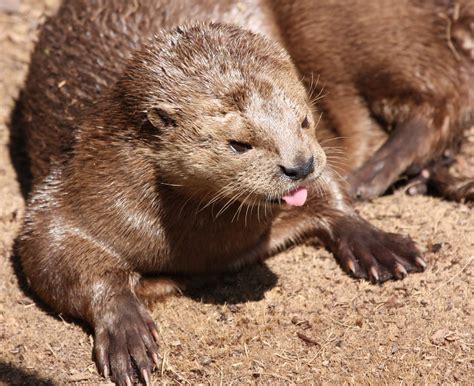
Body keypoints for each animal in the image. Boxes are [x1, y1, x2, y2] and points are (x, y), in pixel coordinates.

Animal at [13, 0, 426, 386]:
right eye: (239, 144)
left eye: (305, 120)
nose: (300, 166)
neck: (199, 246)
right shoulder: (75, 184)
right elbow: (46, 249)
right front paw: (126, 332)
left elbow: (333, 193)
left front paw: (378, 243)